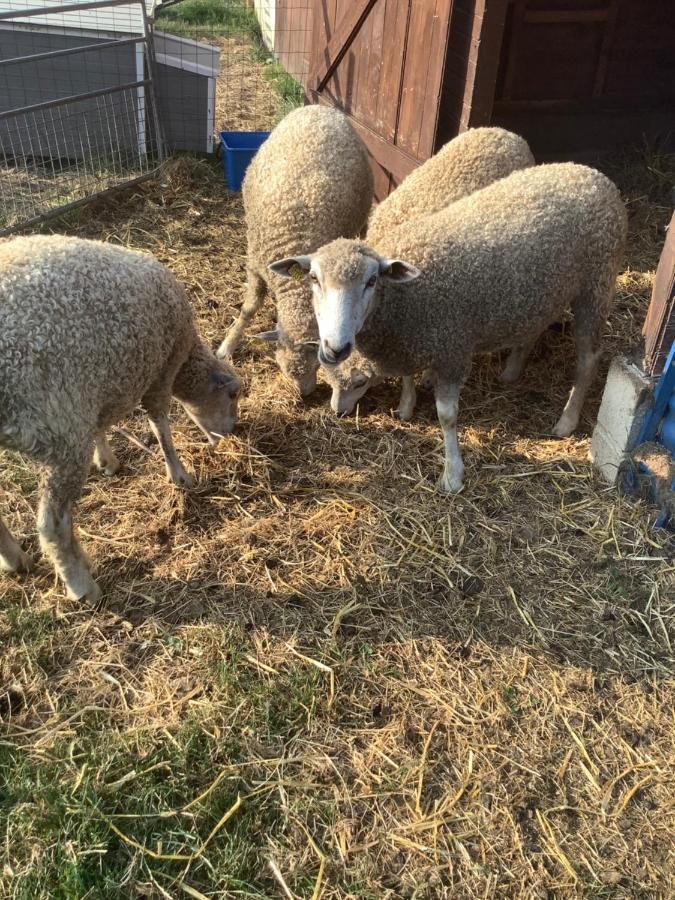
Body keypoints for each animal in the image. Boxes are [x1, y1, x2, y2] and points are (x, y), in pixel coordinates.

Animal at [0, 236, 242, 600]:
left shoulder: (98, 389)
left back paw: (16, 561)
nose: (232, 432)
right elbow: (160, 423)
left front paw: (106, 460)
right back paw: (81, 586)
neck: (186, 355)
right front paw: (179, 474)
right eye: (232, 396)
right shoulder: (160, 371)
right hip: (60, 432)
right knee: (53, 525)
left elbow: (101, 425)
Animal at [218, 103, 372, 396]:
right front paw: (226, 346)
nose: (304, 396)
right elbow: (249, 308)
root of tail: (320, 107)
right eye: (282, 367)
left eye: (316, 367)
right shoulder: (255, 265)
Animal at [270, 165, 628, 496]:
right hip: (542, 292)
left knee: (588, 358)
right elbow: (408, 376)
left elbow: (447, 417)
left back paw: (567, 419)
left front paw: (453, 474)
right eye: (313, 278)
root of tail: (593, 175)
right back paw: (513, 370)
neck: (403, 297)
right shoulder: (416, 338)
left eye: (371, 281)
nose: (336, 347)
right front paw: (406, 405)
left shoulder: (453, 347)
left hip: (596, 285)